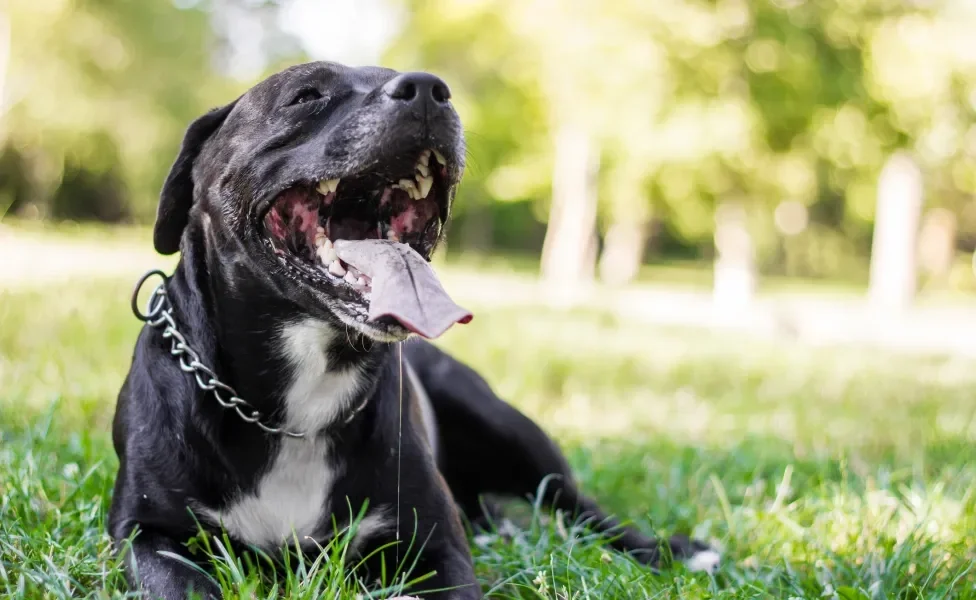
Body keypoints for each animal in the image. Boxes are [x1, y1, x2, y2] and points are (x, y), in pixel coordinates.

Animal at [108, 62, 716, 600]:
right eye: (306, 95)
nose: (428, 90)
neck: (296, 412)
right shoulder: (144, 533)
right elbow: (184, 584)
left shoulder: (435, 545)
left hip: (508, 428)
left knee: (578, 507)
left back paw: (673, 550)